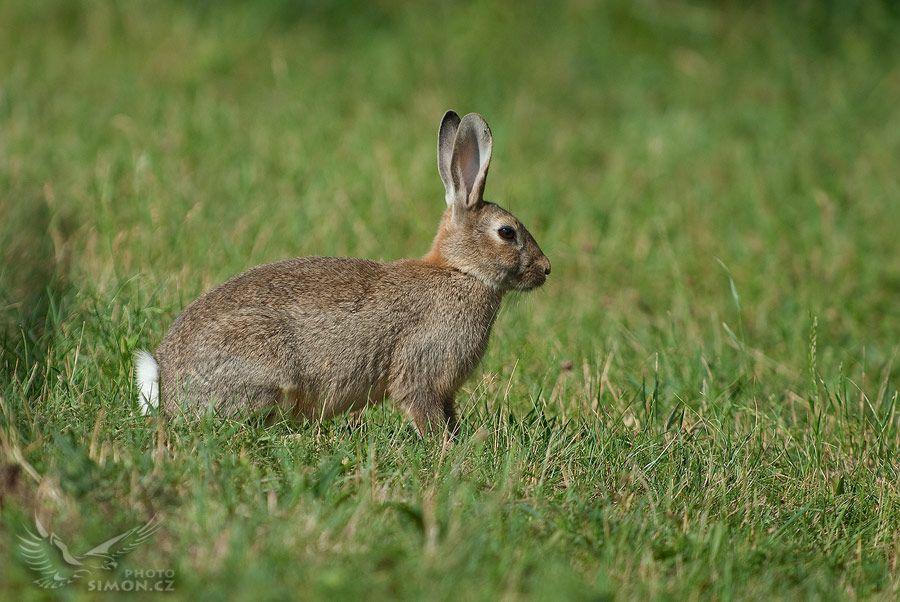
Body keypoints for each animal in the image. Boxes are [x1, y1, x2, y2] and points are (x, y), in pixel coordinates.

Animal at [135, 110, 548, 434]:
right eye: (507, 232)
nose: (546, 269)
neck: (461, 271)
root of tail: (166, 385)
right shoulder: (422, 373)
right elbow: (424, 410)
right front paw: (445, 448)